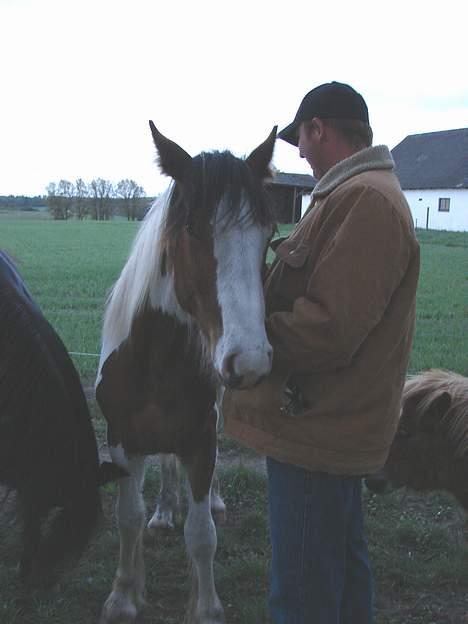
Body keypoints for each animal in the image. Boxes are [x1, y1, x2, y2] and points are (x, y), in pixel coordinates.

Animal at [96, 123, 276, 624]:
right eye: (192, 228)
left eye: (268, 235)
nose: (249, 360)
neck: (155, 361)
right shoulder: (122, 440)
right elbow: (128, 517)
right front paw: (124, 594)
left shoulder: (200, 439)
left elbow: (201, 534)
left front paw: (207, 607)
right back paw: (162, 513)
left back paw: (210, 498)